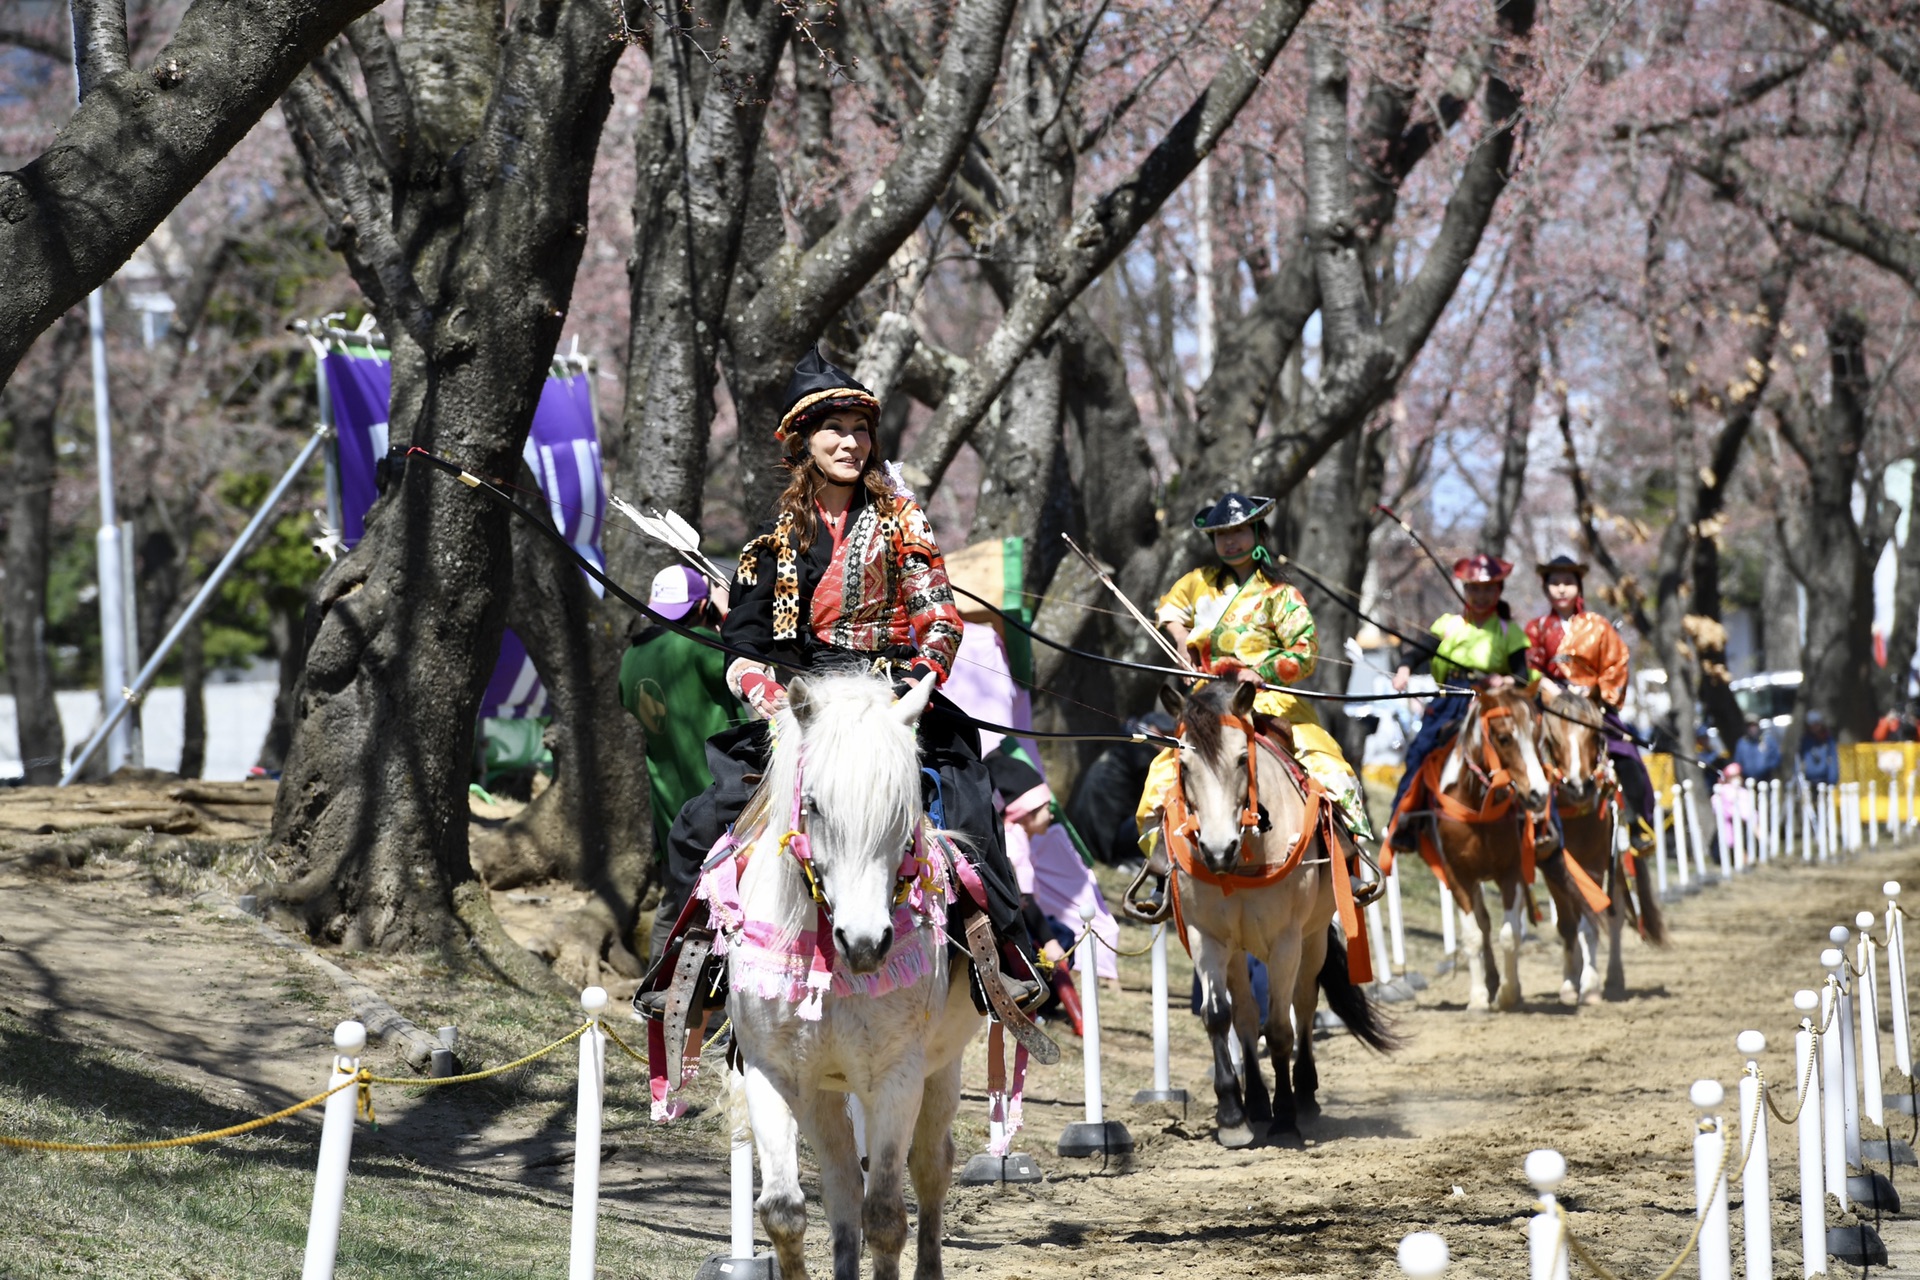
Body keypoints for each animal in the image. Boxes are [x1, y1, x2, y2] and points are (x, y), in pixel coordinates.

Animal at [721, 671, 983, 1280]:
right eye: (813, 804)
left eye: (903, 810)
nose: (865, 943)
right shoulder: (772, 1072)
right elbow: (785, 1211)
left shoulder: (896, 1077)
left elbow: (885, 1216)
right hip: (824, 1088)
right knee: (841, 1184)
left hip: (942, 1068)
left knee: (930, 1166)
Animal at [1152, 679, 1397, 1151]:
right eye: (1183, 764)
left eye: (1241, 759)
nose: (1217, 850)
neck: (1247, 857)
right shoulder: (1207, 936)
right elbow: (1218, 1016)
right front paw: (1233, 1115)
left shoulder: (1286, 940)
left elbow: (1281, 1027)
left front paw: (1285, 1116)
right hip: (1237, 950)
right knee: (1246, 1016)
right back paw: (1255, 1103)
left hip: (1312, 938)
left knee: (1303, 1005)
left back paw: (1303, 1095)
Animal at [1397, 687, 1559, 1013]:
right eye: (1504, 738)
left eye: (1538, 736)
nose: (1538, 794)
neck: (1476, 806)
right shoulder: (1458, 876)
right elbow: (1473, 935)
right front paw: (1478, 998)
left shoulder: (1511, 872)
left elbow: (1510, 933)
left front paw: (1509, 994)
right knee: (1482, 923)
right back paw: (1491, 981)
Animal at [1528, 687, 1666, 1005]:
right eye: (1552, 736)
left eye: (1593, 734)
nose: (1579, 786)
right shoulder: (1552, 866)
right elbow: (1567, 924)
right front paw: (1570, 982)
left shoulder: (1594, 864)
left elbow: (1590, 924)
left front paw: (1589, 986)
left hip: (1616, 862)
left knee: (1614, 916)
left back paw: (1613, 978)